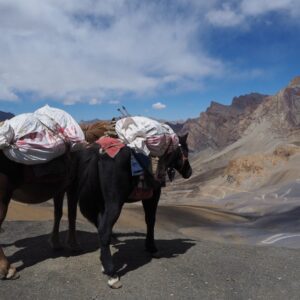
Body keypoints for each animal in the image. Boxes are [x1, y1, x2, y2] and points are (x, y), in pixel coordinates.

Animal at [0, 151, 79, 280]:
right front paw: (73, 244)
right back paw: (6, 268)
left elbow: (58, 213)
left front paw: (55, 243)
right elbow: (72, 214)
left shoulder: (60, 187)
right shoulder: (73, 183)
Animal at [75, 134, 192, 288]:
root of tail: (99, 154)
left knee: (100, 228)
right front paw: (152, 248)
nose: (189, 172)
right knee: (105, 230)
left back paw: (104, 264)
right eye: (186, 150)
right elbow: (150, 219)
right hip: (114, 204)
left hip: (101, 202)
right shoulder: (154, 195)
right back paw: (112, 274)